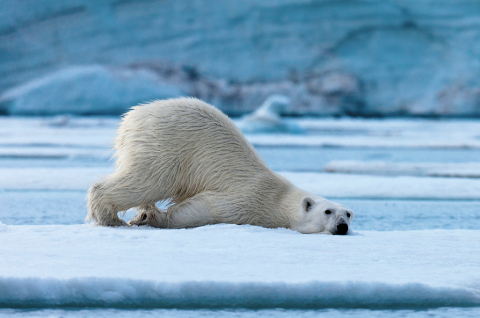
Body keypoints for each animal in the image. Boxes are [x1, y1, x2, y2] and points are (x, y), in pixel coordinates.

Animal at [88, 97, 354, 234]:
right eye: (328, 211)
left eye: (349, 214)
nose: (342, 226)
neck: (277, 197)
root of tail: (132, 117)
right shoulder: (246, 200)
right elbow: (202, 209)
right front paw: (151, 218)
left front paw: (146, 215)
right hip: (165, 145)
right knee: (149, 180)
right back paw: (111, 218)